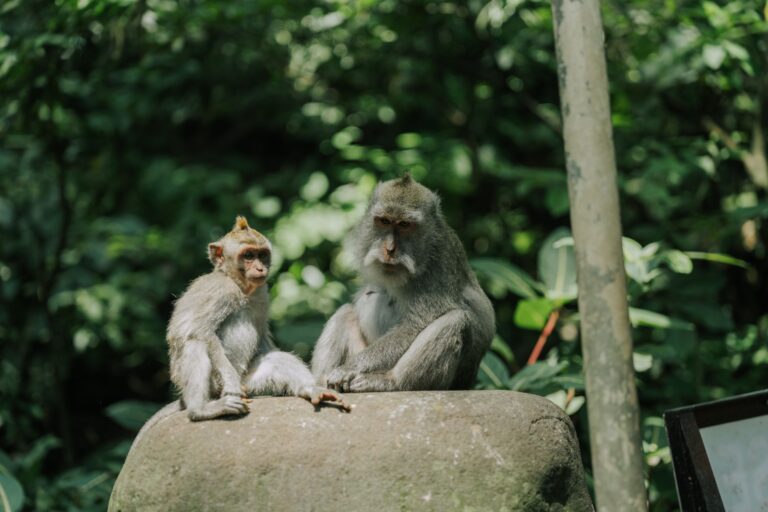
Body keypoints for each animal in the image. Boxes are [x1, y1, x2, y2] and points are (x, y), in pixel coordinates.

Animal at [310, 174, 495, 393]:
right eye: (384, 221)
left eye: (405, 225)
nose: (389, 249)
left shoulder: (438, 268)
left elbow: (414, 325)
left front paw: (349, 368)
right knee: (345, 312)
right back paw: (319, 384)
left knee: (455, 320)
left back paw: (390, 381)